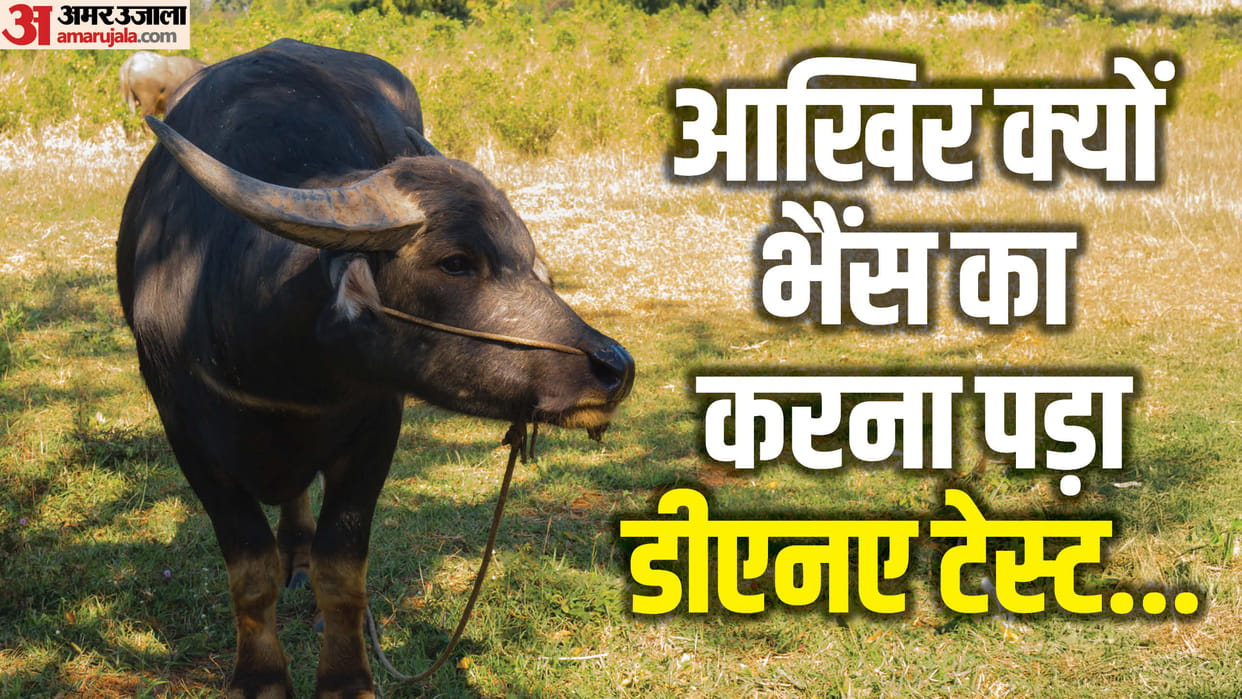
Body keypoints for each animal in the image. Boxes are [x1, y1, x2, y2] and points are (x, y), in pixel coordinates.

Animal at [116, 39, 634, 698]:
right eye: (456, 262)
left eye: (528, 260)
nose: (614, 368)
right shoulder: (188, 437)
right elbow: (249, 570)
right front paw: (258, 676)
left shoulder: (375, 431)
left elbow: (342, 570)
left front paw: (346, 678)